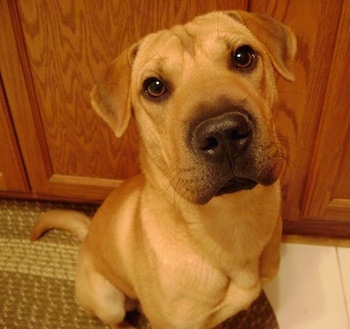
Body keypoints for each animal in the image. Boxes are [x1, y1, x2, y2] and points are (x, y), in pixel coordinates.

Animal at [31, 10, 296, 328]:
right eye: (154, 87)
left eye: (243, 56)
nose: (222, 132)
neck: (231, 220)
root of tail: (88, 237)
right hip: (107, 299)